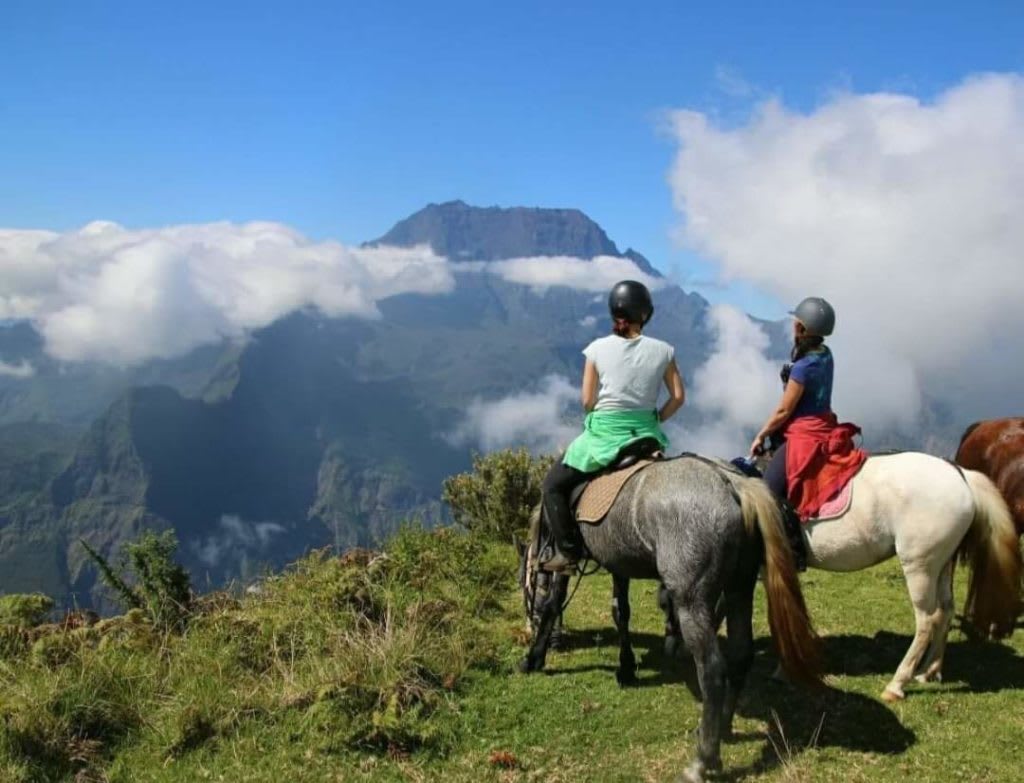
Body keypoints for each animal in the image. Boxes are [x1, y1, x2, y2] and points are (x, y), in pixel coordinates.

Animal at [516, 454, 819, 777]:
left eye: (523, 579)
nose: (527, 624)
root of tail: (735, 484)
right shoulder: (619, 563)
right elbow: (620, 612)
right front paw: (626, 667)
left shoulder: (566, 563)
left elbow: (554, 605)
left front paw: (534, 658)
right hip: (740, 587)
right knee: (740, 656)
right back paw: (721, 730)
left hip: (692, 599)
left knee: (712, 670)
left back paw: (703, 761)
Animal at [798, 448, 1024, 700]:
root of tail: (961, 475)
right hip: (942, 565)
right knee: (945, 611)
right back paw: (928, 671)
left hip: (919, 567)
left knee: (926, 621)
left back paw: (897, 684)